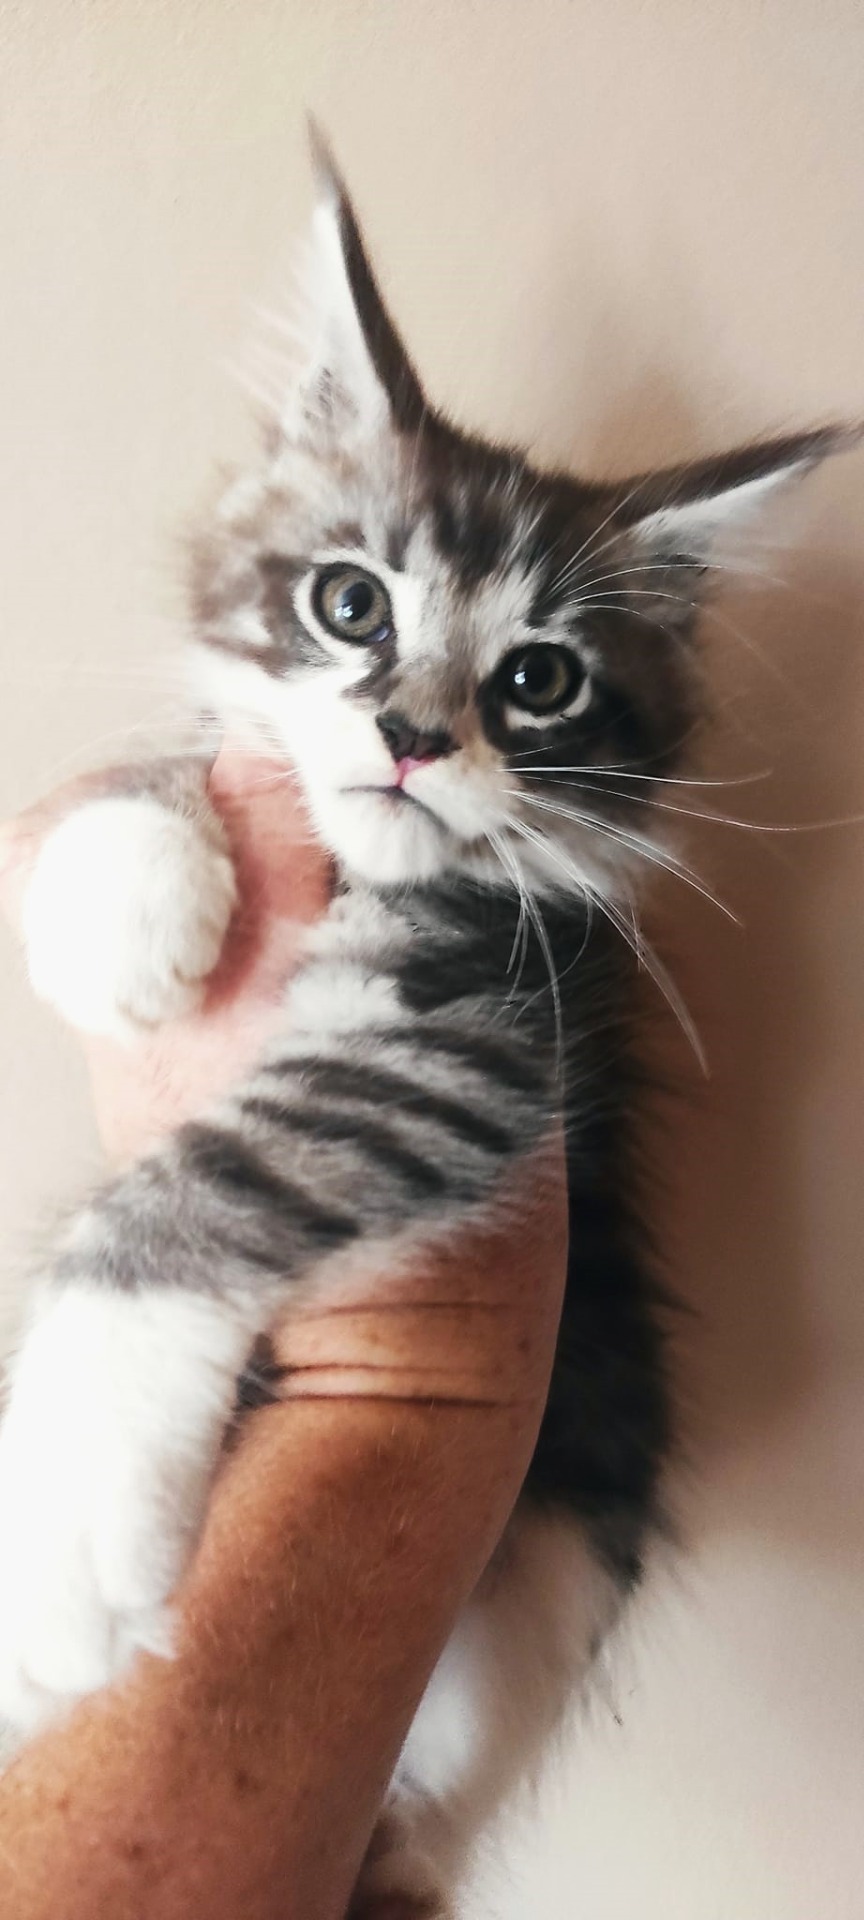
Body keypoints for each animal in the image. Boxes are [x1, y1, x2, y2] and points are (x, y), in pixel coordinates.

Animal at [0, 129, 846, 1910]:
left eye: (539, 681)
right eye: (351, 606)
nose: (405, 733)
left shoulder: (490, 1039)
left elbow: (184, 1196)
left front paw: (68, 1538)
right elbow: (171, 760)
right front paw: (126, 898)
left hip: (554, 1563)